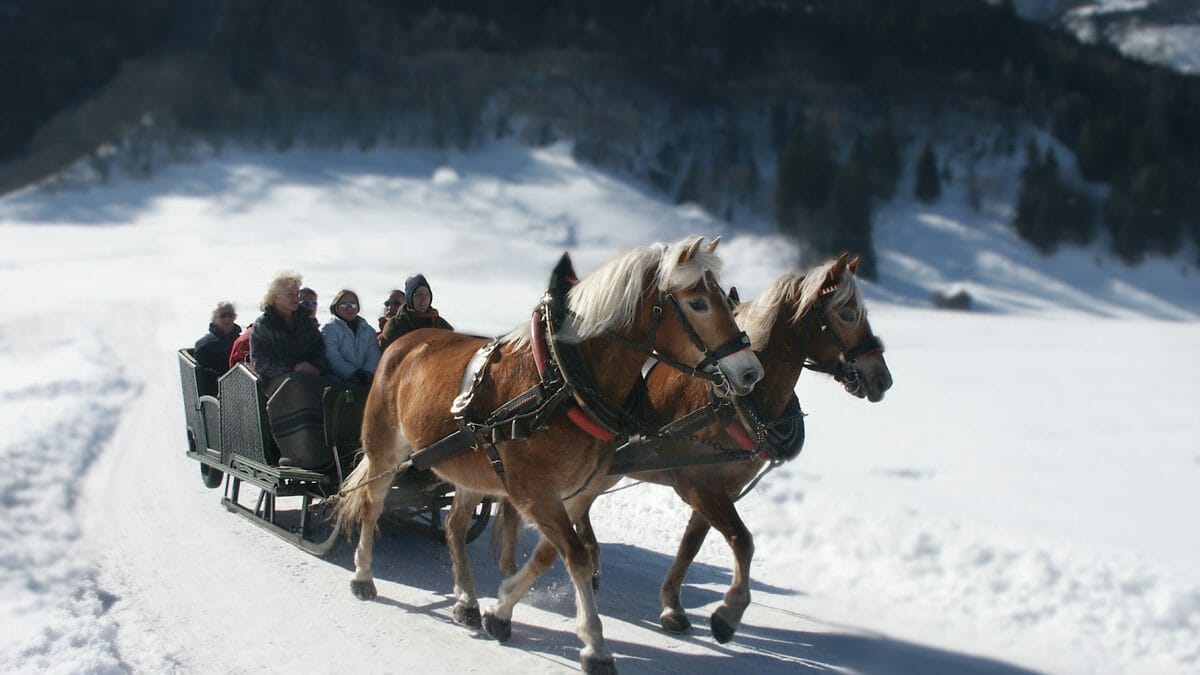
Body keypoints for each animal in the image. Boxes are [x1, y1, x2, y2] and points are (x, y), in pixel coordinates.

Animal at [331, 234, 758, 667]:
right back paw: (363, 575)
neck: (564, 384)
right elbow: (578, 557)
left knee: (453, 526)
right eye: (698, 302)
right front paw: (594, 643)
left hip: (470, 466)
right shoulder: (534, 492)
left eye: (725, 300)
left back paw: (467, 601)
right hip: (385, 449)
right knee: (372, 504)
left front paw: (500, 610)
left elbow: (553, 556)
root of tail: (406, 342)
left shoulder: (575, 495)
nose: (750, 372)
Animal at [487, 251, 892, 638]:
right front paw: (728, 613)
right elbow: (742, 541)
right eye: (847, 313)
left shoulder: (720, 488)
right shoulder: (700, 484)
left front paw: (672, 605)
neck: (737, 401)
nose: (882, 379)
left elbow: (691, 545)